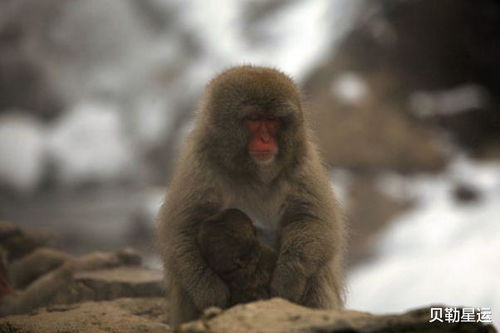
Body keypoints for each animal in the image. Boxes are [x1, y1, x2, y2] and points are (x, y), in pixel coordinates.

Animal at [158, 64, 346, 324]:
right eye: (254, 119)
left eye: (273, 121)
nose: (265, 139)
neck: (253, 172)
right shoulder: (198, 167)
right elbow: (181, 231)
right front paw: (209, 291)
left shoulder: (302, 164)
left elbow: (313, 221)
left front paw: (287, 280)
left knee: (316, 271)